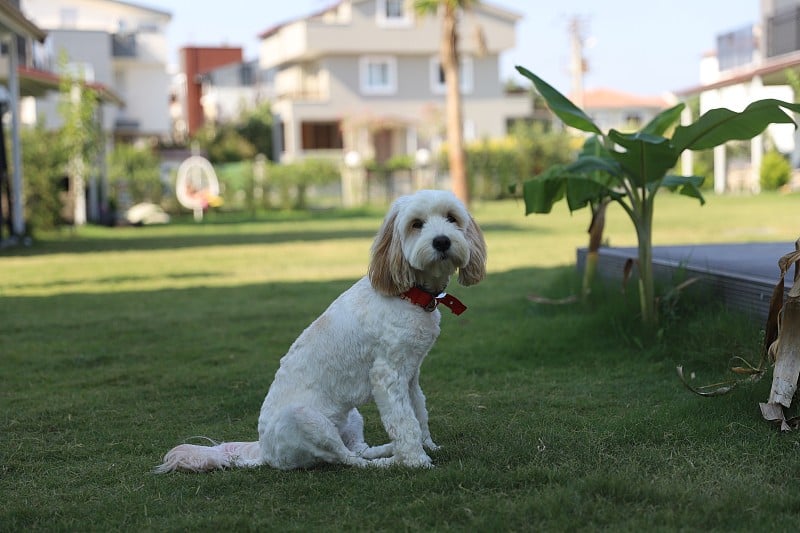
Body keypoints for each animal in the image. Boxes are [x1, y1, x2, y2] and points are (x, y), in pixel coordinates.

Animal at [154, 189, 484, 472]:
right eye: (416, 224)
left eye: (452, 218)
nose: (442, 241)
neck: (409, 295)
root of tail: (265, 452)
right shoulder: (388, 376)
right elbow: (404, 421)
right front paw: (416, 459)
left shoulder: (411, 374)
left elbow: (419, 412)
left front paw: (427, 445)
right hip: (306, 420)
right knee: (349, 460)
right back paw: (391, 460)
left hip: (351, 417)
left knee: (358, 450)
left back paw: (388, 449)